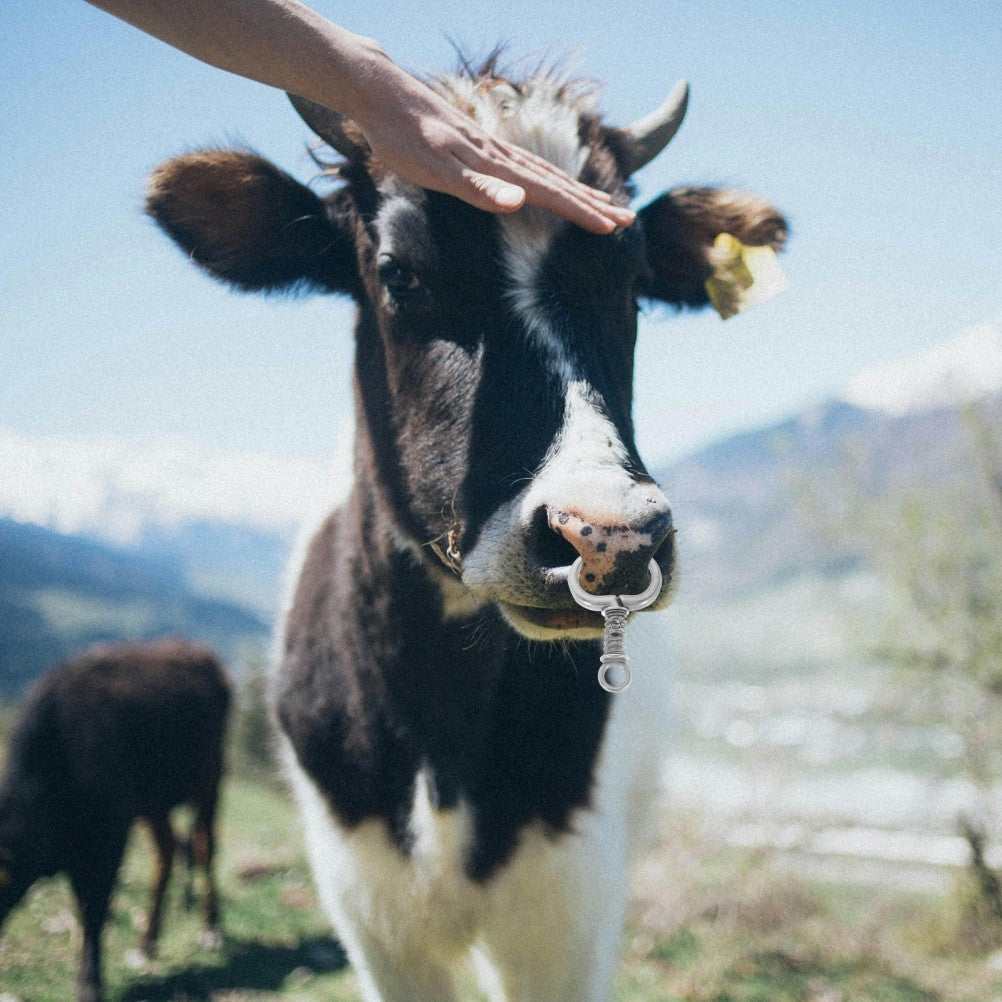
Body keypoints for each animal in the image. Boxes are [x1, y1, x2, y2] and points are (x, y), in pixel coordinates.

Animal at [0, 640, 231, 1002]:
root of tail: (195, 650)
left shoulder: (110, 839)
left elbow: (94, 909)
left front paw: (90, 983)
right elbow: (86, 907)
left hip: (209, 780)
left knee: (203, 847)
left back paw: (211, 930)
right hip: (154, 803)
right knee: (166, 851)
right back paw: (147, 941)